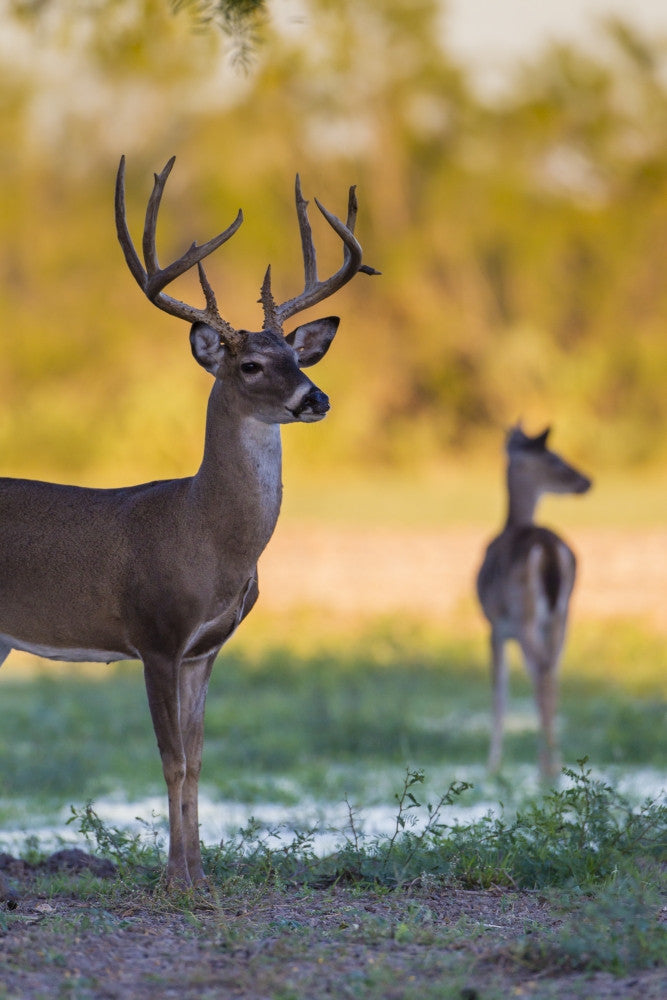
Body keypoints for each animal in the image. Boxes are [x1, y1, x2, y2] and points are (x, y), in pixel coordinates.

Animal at [0, 157, 378, 888]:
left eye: (299, 356)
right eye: (251, 363)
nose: (315, 398)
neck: (205, 535)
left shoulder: (207, 648)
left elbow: (200, 759)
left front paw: (200, 874)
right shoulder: (154, 634)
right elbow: (170, 758)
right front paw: (174, 879)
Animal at [476, 424, 592, 781]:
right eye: (554, 457)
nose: (586, 481)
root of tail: (550, 550)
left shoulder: (495, 626)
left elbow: (500, 693)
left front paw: (492, 766)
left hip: (524, 613)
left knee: (541, 671)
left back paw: (546, 768)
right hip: (562, 616)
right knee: (551, 672)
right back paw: (554, 764)